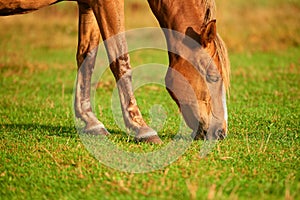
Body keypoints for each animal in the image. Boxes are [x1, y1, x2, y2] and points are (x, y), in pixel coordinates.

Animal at [0, 0, 230, 144]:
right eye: (212, 77)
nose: (220, 132)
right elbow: (120, 59)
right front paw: (142, 128)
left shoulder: (87, 3)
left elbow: (87, 56)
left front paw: (91, 122)